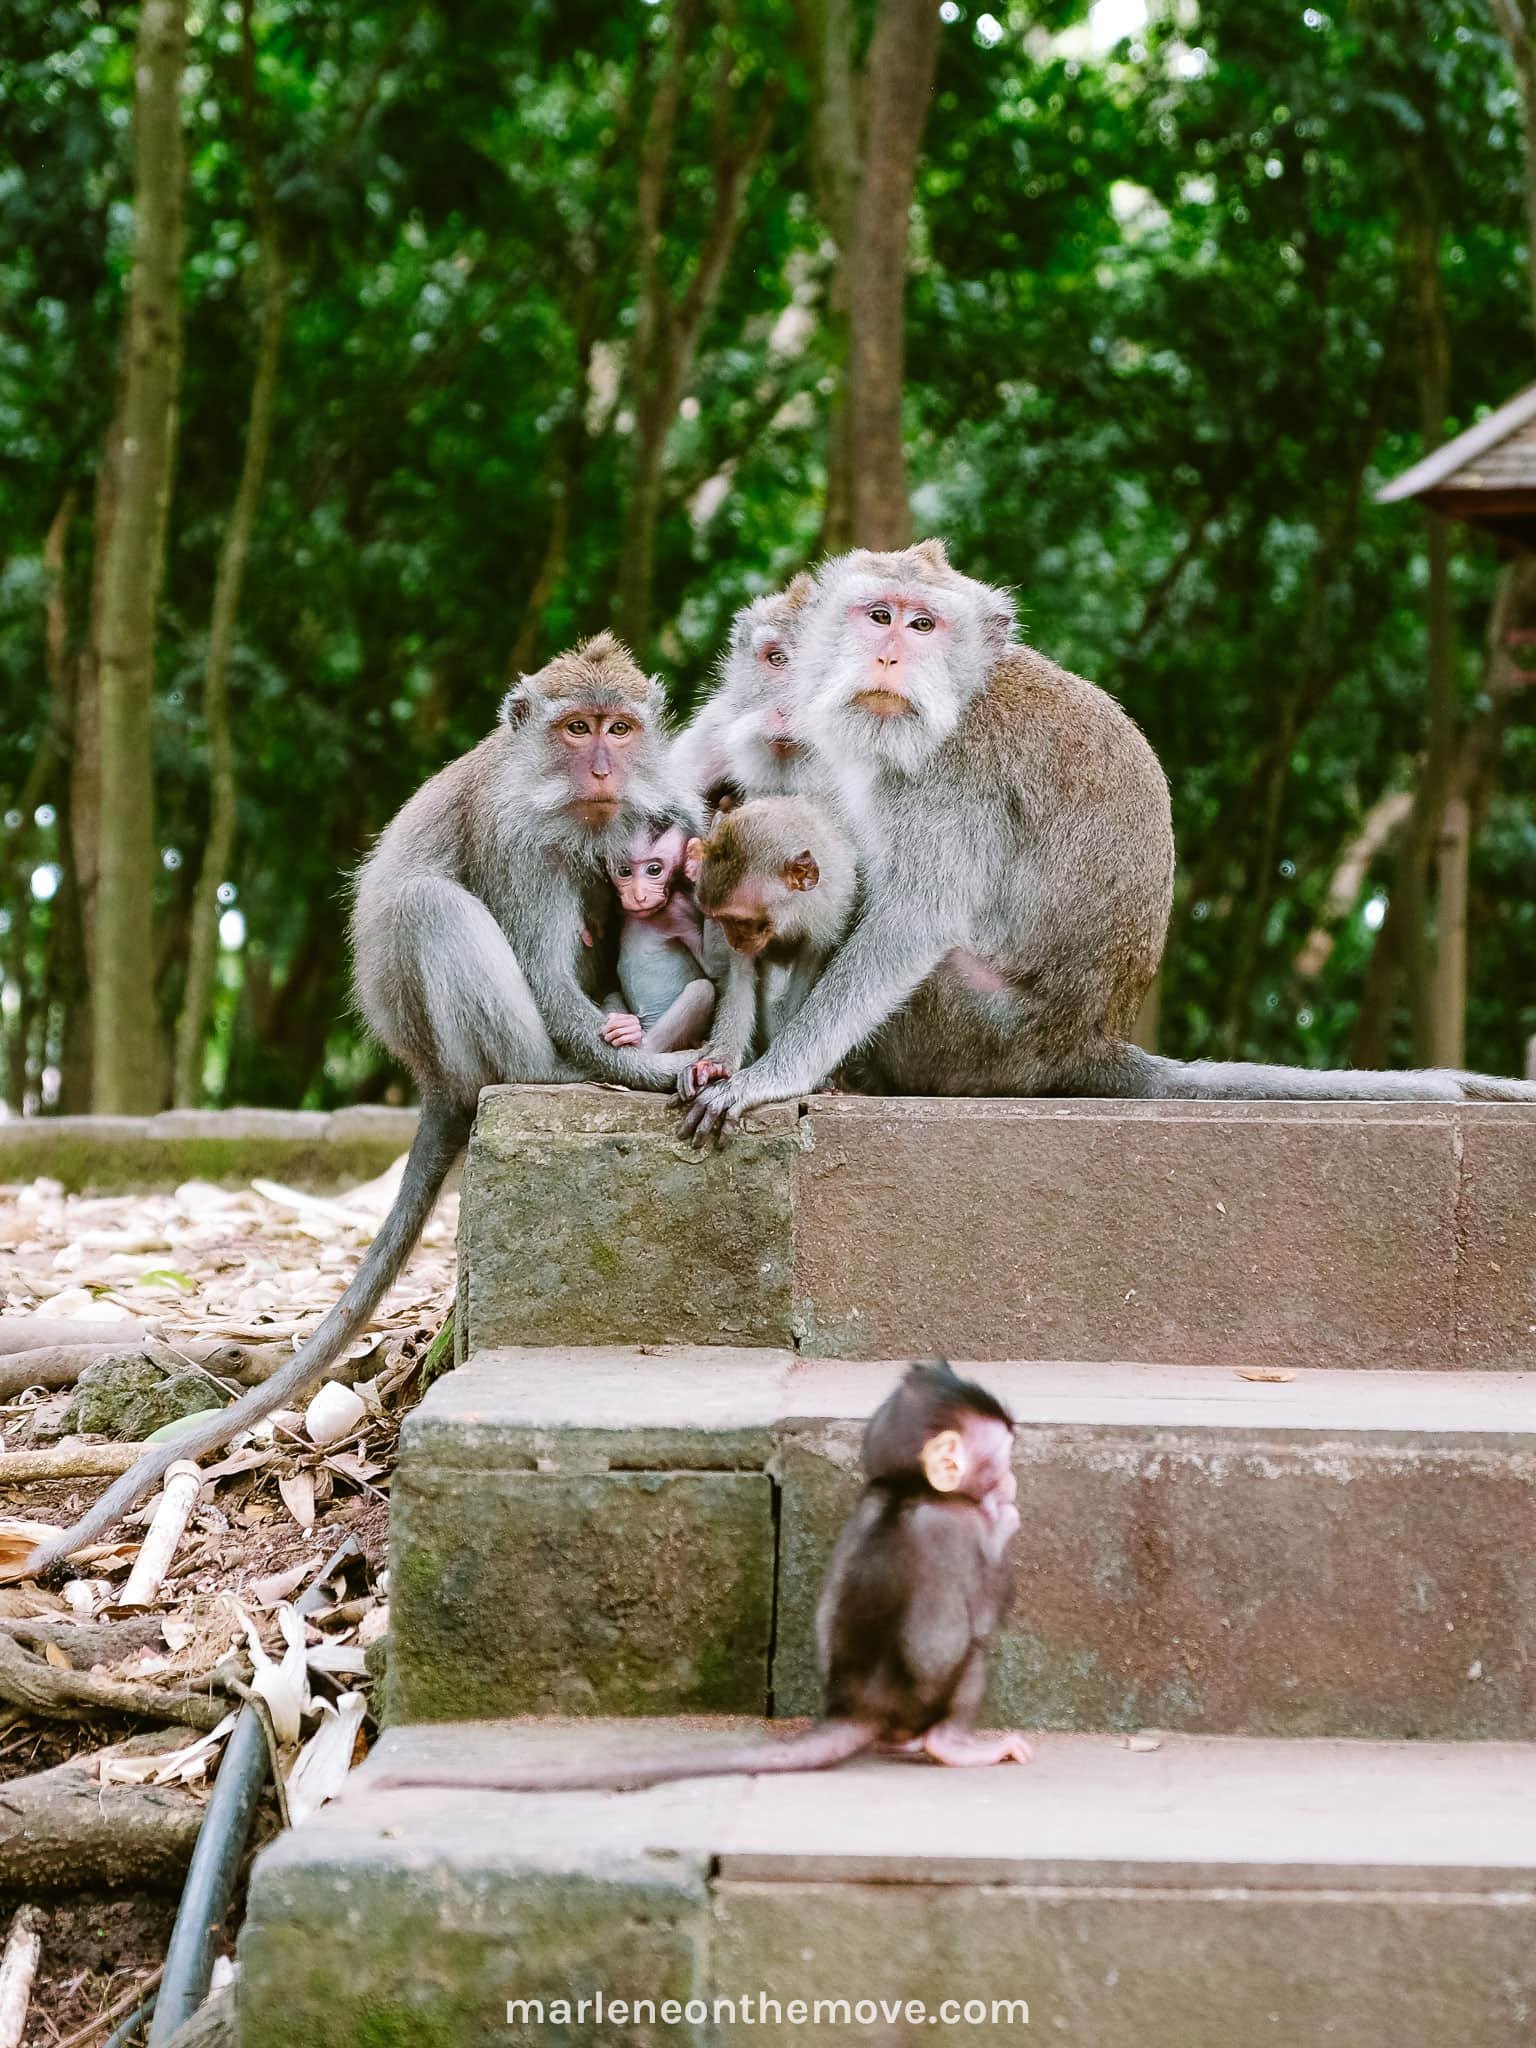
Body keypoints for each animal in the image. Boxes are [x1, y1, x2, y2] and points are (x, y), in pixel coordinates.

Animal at [27, 633, 702, 1575]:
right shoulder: (513, 839)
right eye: (576, 729)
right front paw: (647, 1069)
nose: (602, 767)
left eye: (619, 727)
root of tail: (429, 1076)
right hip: (455, 1043)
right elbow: (539, 964)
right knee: (433, 908)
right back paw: (550, 1072)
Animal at [369, 1360, 1032, 1793]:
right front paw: (1004, 1522)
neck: (906, 1488)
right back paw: (948, 1744)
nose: (1012, 1484)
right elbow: (949, 1636)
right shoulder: (955, 1530)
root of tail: (858, 1710)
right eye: (1000, 1459)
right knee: (970, 1653)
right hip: (923, 1698)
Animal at [599, 815, 716, 1055]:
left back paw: (638, 1039)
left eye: (654, 870)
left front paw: (697, 865)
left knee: (702, 989)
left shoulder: (681, 911)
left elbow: (712, 969)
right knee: (612, 994)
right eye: (624, 871)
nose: (638, 896)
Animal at [678, 795, 862, 1100]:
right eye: (720, 920)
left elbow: (808, 969)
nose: (734, 941)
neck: (793, 910)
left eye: (740, 921)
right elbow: (740, 975)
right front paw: (717, 1063)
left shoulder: (831, 911)